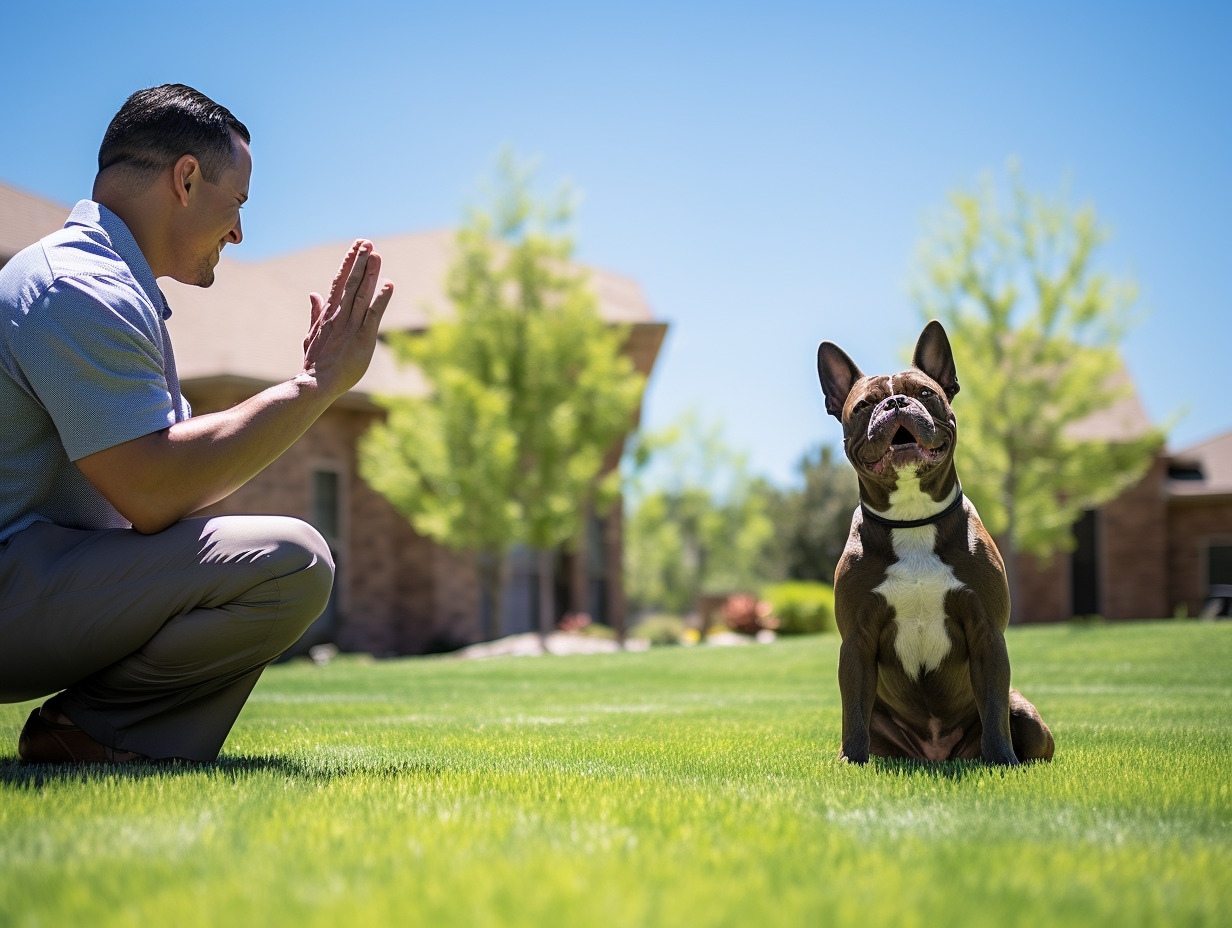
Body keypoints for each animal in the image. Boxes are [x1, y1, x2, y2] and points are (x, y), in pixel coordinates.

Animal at [813, 322, 1054, 764]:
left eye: (925, 393)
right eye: (863, 406)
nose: (895, 402)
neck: (913, 521)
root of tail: (935, 756)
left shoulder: (987, 632)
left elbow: (993, 706)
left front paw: (1001, 761)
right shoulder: (856, 640)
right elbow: (852, 709)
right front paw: (851, 761)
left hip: (1025, 713)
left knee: (1015, 718)